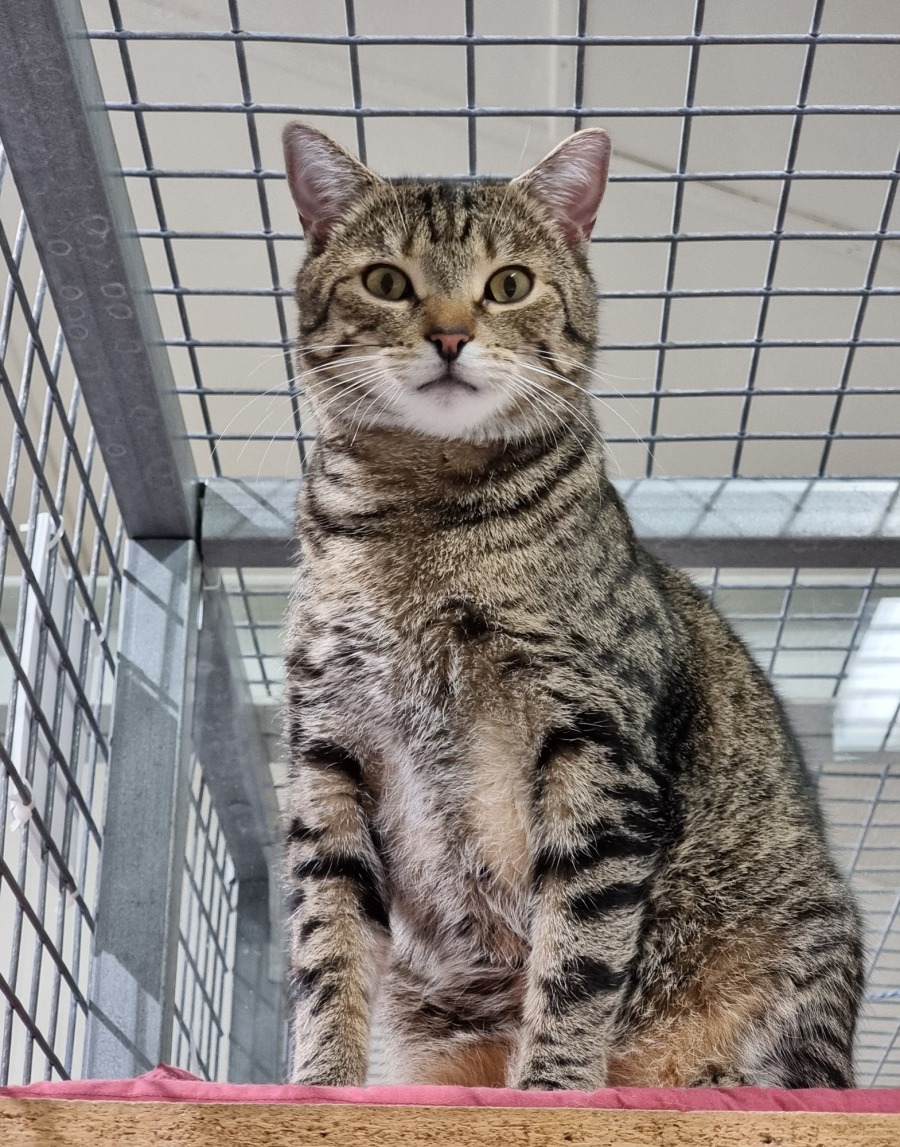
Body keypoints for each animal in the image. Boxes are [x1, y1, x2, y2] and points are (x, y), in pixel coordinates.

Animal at [280, 121, 863, 1090]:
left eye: (508, 284)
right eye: (388, 281)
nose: (449, 335)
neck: (421, 517)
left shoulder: (596, 743)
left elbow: (580, 950)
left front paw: (552, 1084)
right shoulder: (326, 754)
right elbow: (327, 942)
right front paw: (320, 1084)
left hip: (801, 954)